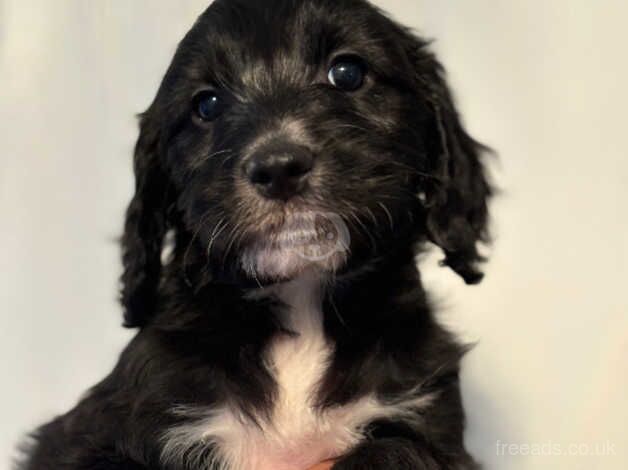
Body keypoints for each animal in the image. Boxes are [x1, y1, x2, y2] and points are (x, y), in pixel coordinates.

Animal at [19, 0, 490, 470]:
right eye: (206, 105)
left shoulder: (427, 417)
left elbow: (396, 449)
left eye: (347, 72)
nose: (278, 167)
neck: (302, 302)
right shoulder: (86, 434)